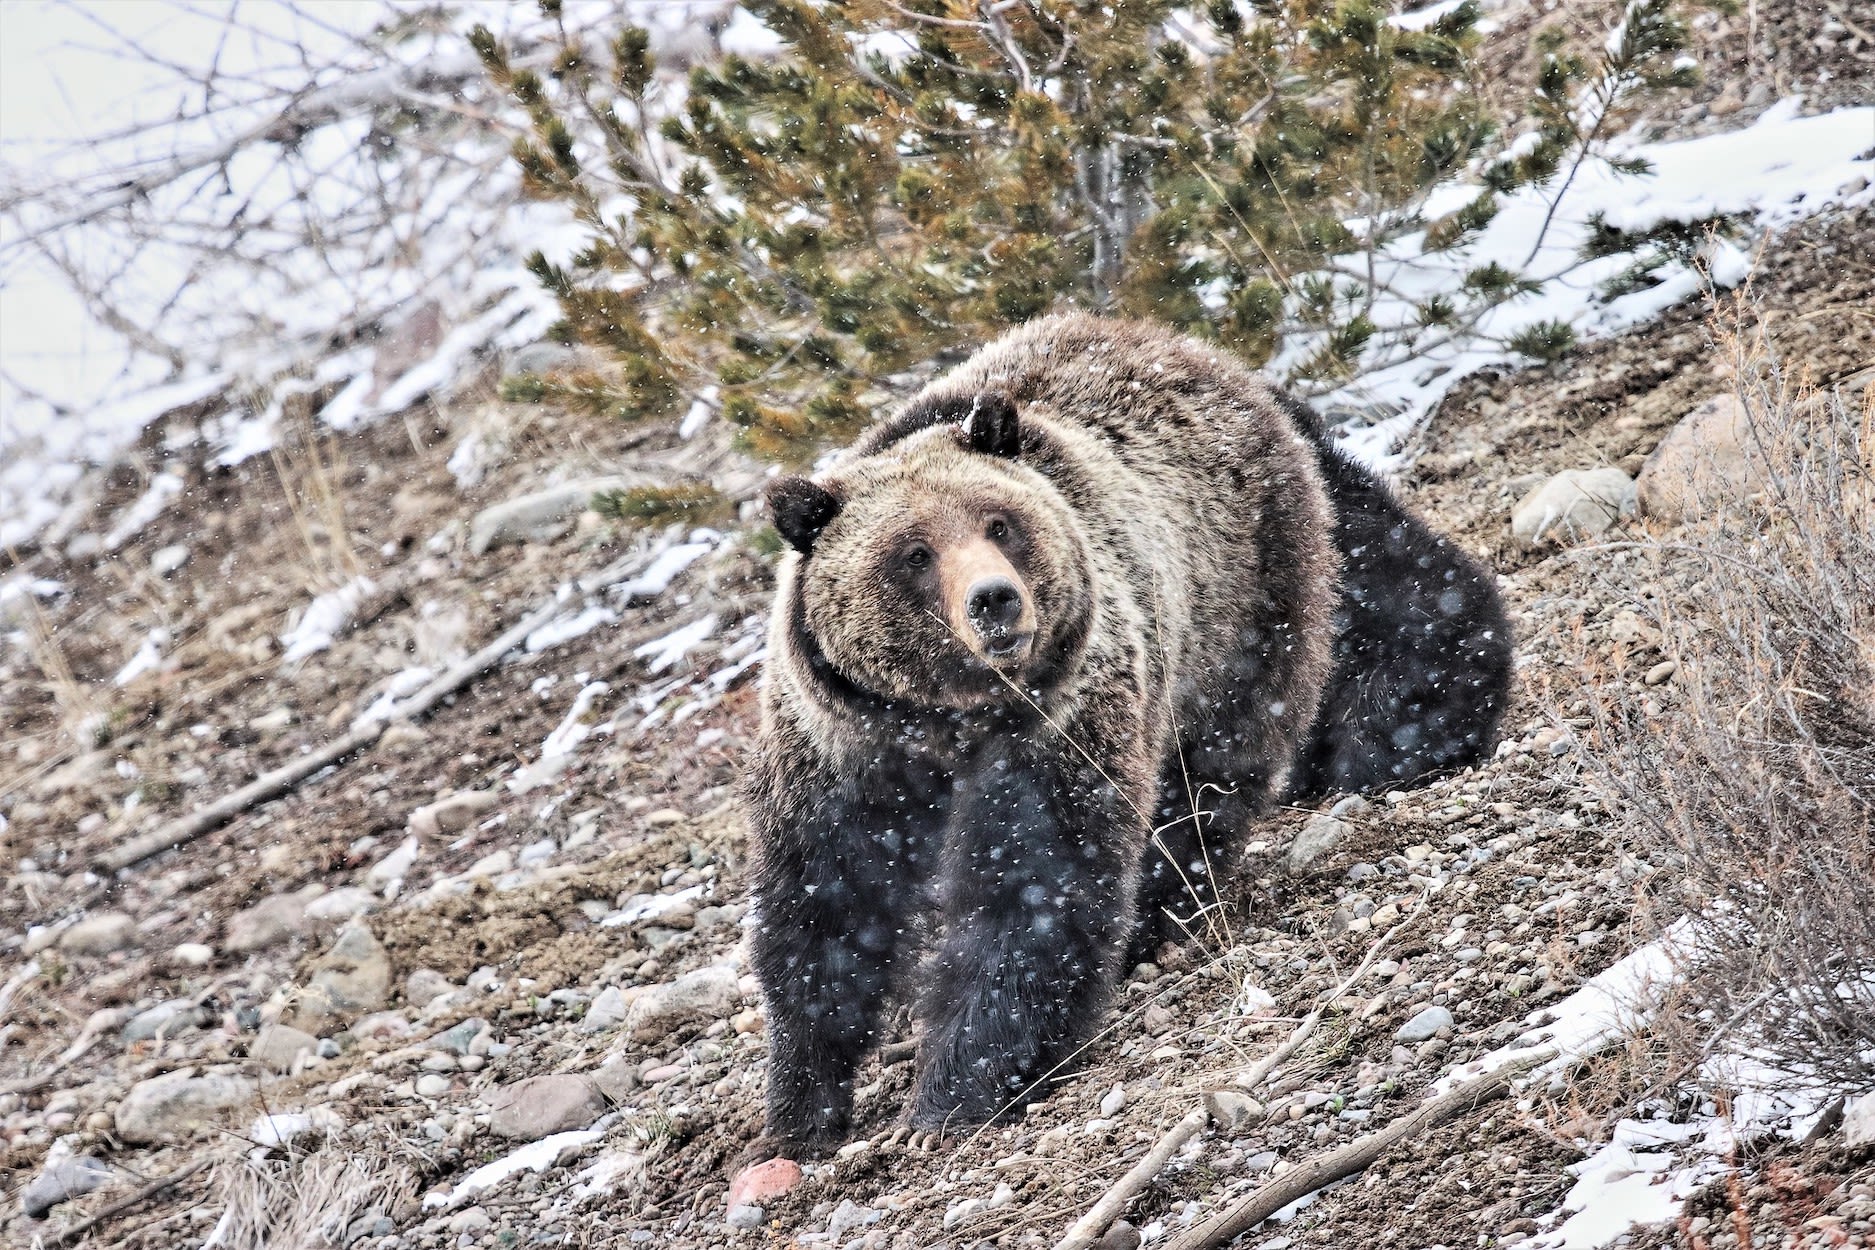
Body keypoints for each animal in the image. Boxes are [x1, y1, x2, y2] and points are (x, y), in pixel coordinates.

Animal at [746, 314, 1350, 1154]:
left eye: (999, 523)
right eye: (913, 552)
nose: (994, 599)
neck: (946, 721)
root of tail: (1185, 347)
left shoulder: (1056, 721)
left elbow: (1033, 884)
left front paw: (951, 1094)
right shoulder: (841, 750)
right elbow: (823, 902)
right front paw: (800, 1106)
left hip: (1239, 587)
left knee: (1212, 767)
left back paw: (1160, 913)